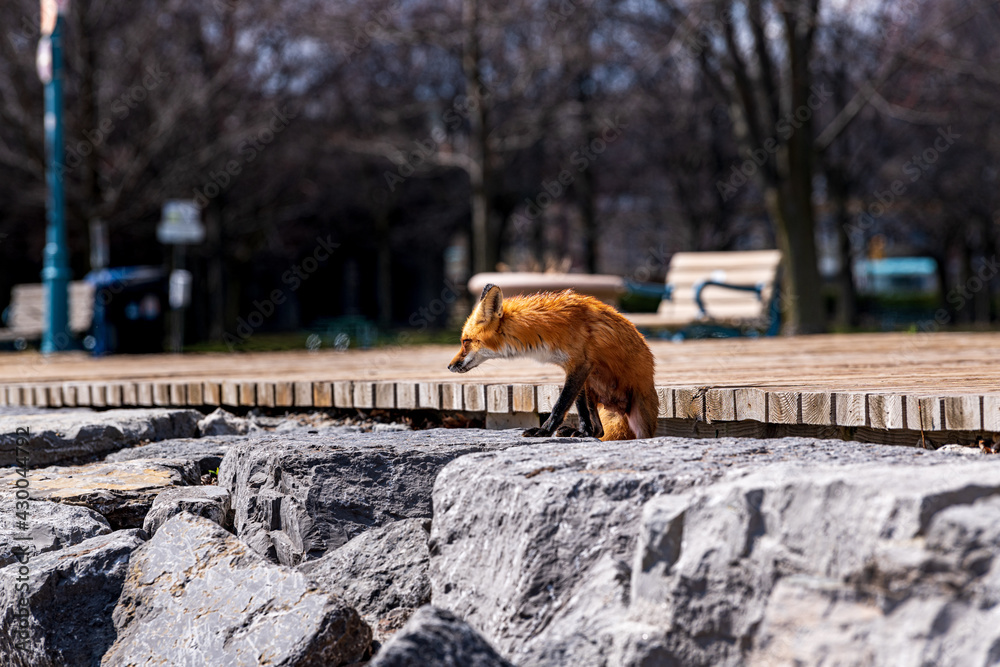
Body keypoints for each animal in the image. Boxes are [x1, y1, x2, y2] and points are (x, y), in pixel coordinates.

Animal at [448, 284, 658, 440]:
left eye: (465, 342)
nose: (449, 366)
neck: (543, 328)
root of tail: (617, 407)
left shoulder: (579, 366)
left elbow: (560, 405)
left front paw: (544, 431)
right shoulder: (577, 370)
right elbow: (581, 411)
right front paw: (582, 432)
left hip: (641, 420)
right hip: (592, 387)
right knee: (599, 430)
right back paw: (583, 432)